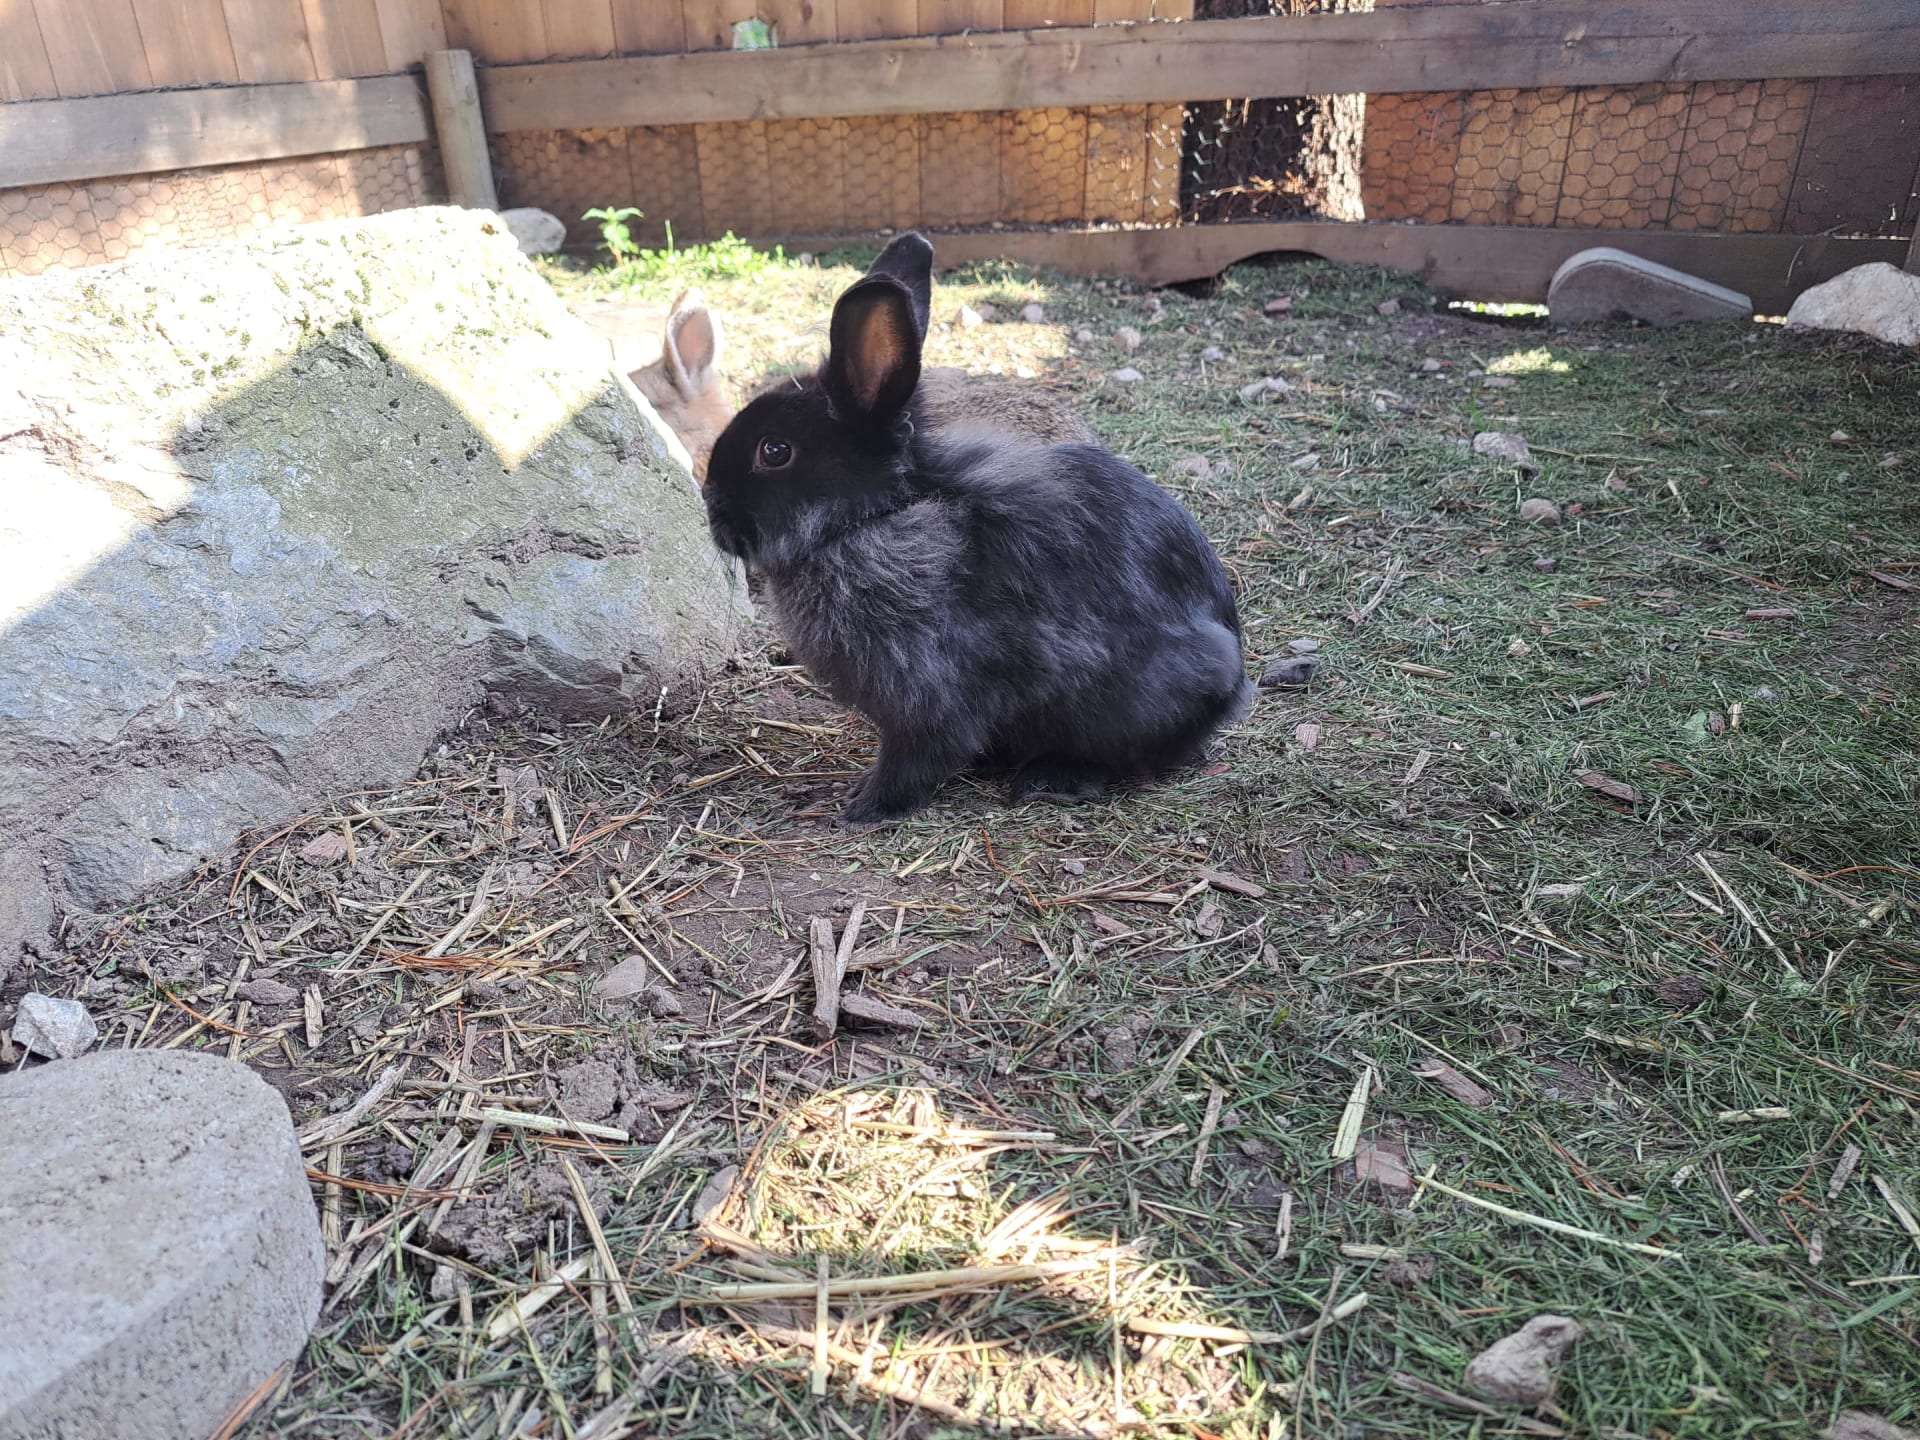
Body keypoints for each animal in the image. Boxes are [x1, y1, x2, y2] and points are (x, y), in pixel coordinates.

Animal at [701, 232, 1250, 826]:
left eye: (775, 451)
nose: (711, 506)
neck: (871, 518)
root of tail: (1231, 680)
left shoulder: (929, 688)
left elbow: (918, 753)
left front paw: (864, 807)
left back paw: (1053, 778)